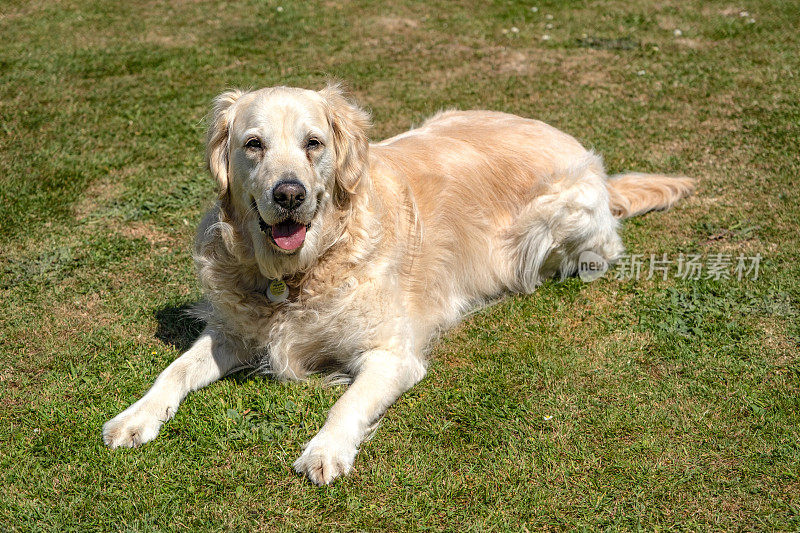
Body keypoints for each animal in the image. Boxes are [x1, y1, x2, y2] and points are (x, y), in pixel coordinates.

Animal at [104, 84, 692, 486]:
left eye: (313, 144)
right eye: (253, 145)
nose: (289, 194)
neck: (295, 277)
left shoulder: (390, 354)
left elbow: (346, 403)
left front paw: (325, 450)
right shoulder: (232, 331)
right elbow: (175, 370)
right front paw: (135, 417)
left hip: (555, 217)